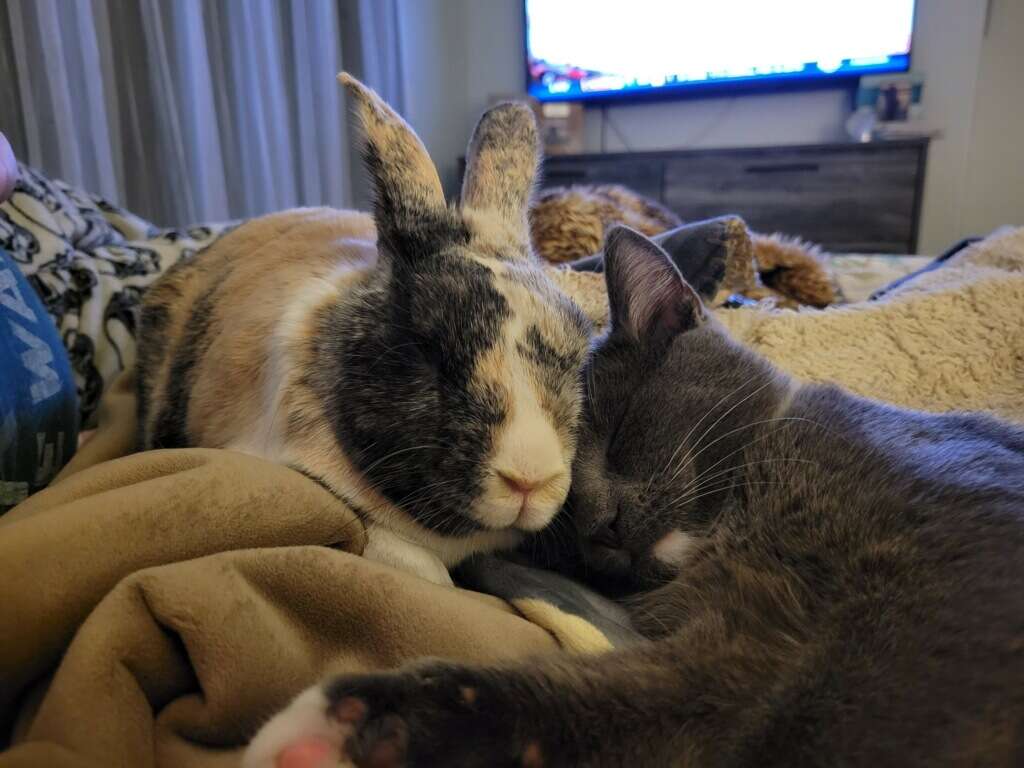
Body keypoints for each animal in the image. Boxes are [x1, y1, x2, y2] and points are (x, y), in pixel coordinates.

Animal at [247, 227, 1024, 768]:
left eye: (619, 434)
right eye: (561, 521)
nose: (605, 522)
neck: (745, 531)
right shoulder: (739, 647)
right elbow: (644, 700)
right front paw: (347, 732)